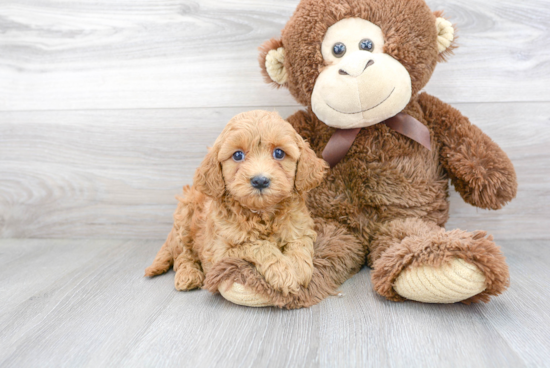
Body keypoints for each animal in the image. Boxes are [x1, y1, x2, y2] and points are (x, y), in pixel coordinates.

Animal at [144, 110, 330, 296]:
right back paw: (188, 275)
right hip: (183, 219)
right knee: (183, 254)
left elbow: (300, 244)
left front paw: (299, 269)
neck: (261, 214)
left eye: (279, 153)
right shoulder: (220, 252)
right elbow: (258, 245)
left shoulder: (300, 227)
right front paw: (283, 273)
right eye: (238, 155)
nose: (260, 181)